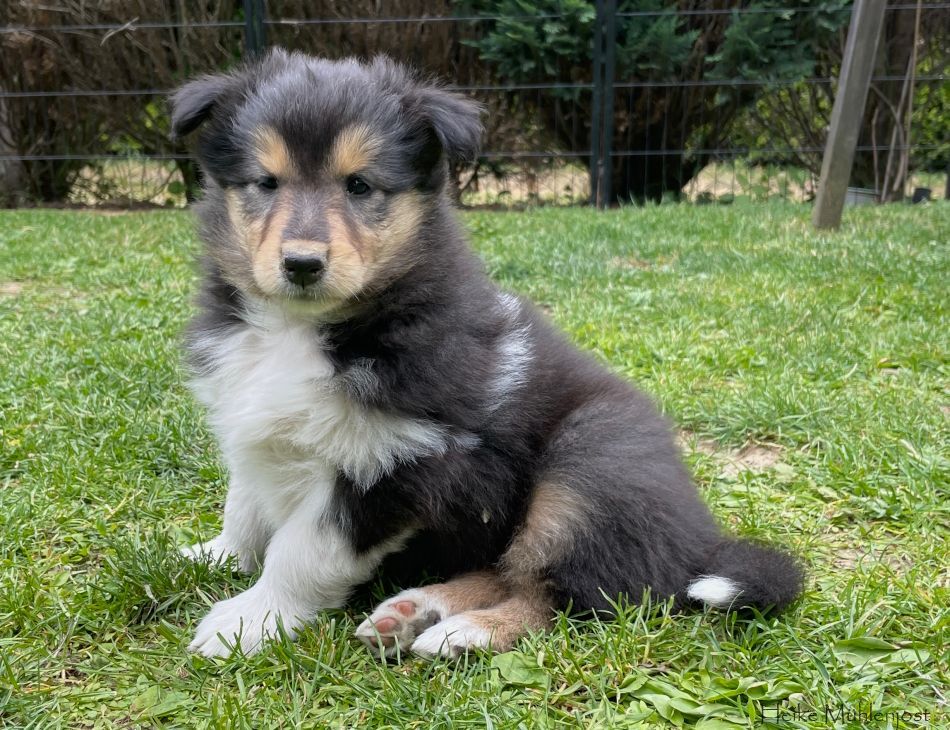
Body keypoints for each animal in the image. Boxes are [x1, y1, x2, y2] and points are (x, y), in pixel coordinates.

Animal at [171, 49, 803, 659]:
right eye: (265, 182)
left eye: (360, 186)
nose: (302, 264)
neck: (303, 328)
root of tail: (701, 543)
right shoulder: (251, 417)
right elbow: (245, 502)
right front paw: (214, 554)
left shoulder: (394, 460)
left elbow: (304, 549)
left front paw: (248, 620)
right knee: (507, 571)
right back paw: (413, 613)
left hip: (590, 467)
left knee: (561, 596)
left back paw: (464, 632)